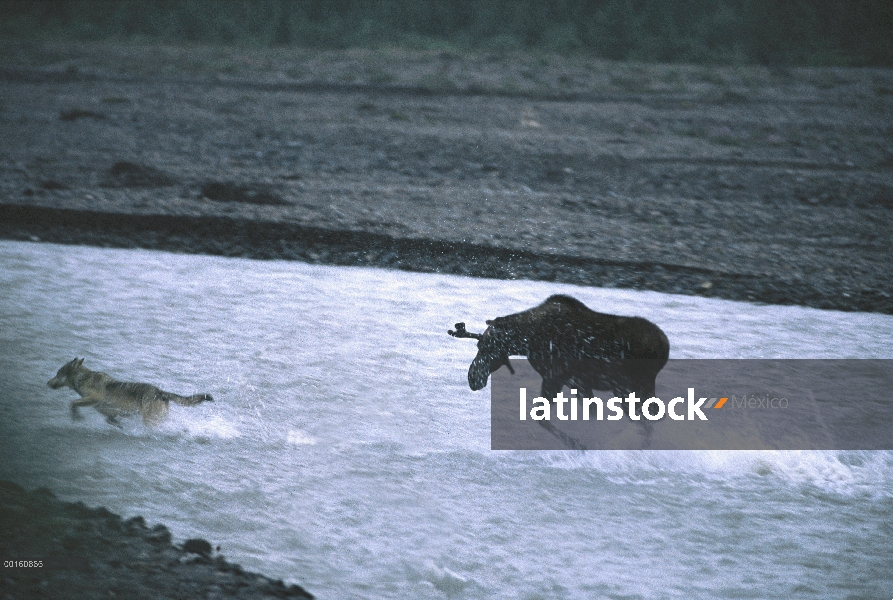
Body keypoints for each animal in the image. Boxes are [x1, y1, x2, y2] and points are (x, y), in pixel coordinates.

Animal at [48, 356, 214, 426]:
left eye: (58, 373)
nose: (47, 383)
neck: (84, 378)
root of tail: (161, 391)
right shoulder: (109, 413)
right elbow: (111, 420)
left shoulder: (95, 398)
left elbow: (72, 402)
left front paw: (76, 417)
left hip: (149, 419)